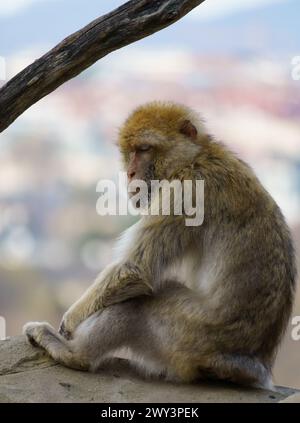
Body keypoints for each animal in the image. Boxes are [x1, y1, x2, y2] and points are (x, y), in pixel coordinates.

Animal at [22, 101, 296, 390]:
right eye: (130, 152)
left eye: (144, 149)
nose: (130, 173)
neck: (196, 157)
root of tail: (250, 364)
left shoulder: (185, 191)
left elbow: (135, 270)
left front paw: (70, 321)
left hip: (188, 337)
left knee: (138, 305)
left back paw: (74, 354)